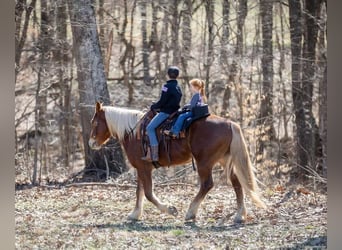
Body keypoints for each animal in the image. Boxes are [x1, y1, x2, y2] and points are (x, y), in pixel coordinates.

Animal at [89, 101, 268, 223]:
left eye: (95, 123)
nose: (91, 143)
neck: (134, 132)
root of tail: (230, 123)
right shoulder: (141, 168)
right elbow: (139, 191)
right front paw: (135, 214)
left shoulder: (144, 168)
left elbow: (148, 193)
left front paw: (170, 210)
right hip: (225, 160)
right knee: (237, 183)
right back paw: (239, 215)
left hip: (204, 163)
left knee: (207, 184)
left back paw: (190, 212)